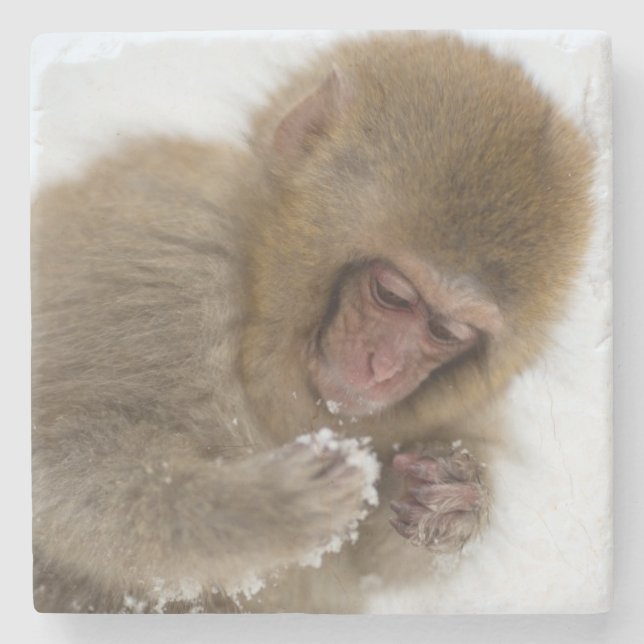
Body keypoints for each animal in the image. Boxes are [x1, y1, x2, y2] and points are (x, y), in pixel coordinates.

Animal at [31, 32, 595, 613]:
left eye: (445, 332)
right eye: (392, 294)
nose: (383, 367)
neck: (255, 303)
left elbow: (370, 563)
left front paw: (456, 501)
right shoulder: (166, 265)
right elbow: (54, 468)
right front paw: (263, 509)